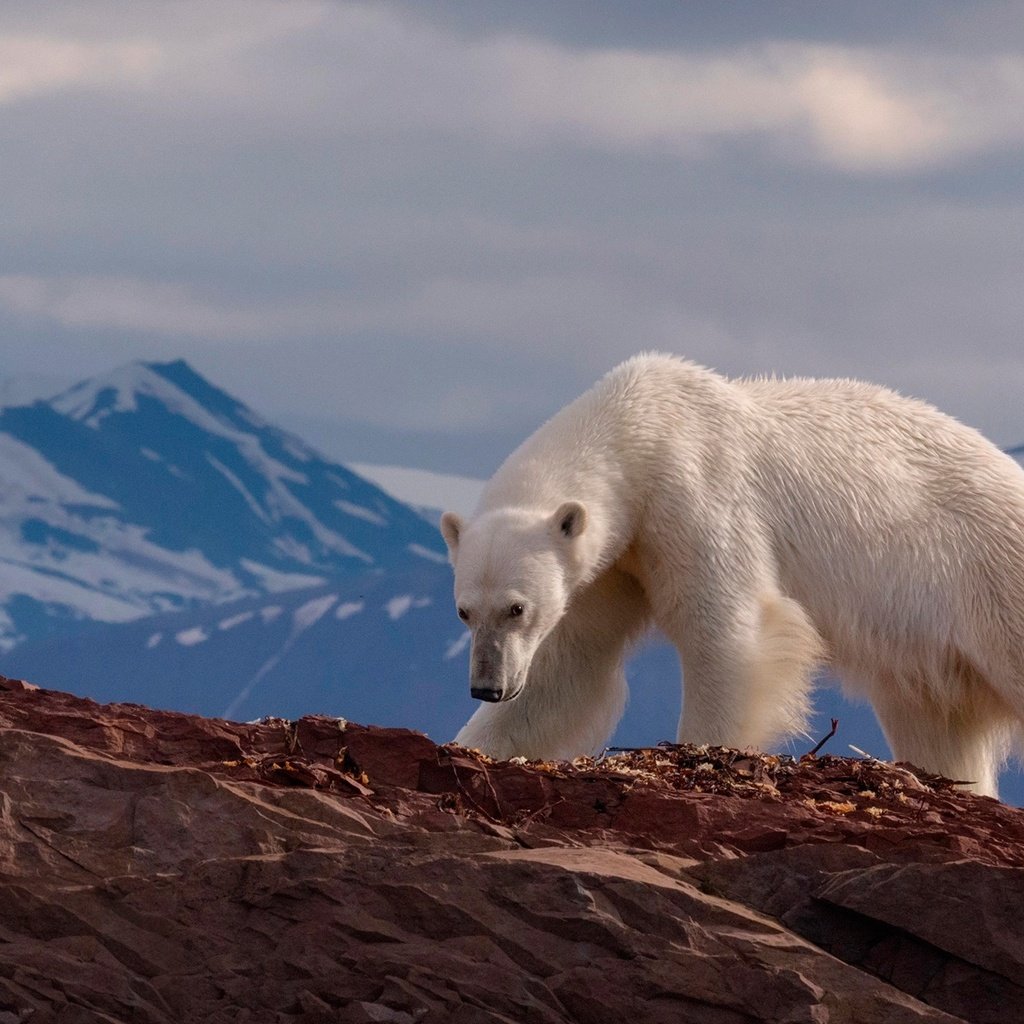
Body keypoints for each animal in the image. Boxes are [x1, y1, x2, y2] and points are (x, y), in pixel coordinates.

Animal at [440, 356, 1024, 794]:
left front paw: (697, 752)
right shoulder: (610, 565)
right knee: (934, 722)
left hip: (989, 579)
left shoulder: (697, 492)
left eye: (517, 607)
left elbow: (727, 633)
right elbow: (569, 664)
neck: (640, 426)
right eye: (465, 611)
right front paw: (470, 746)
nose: (487, 687)